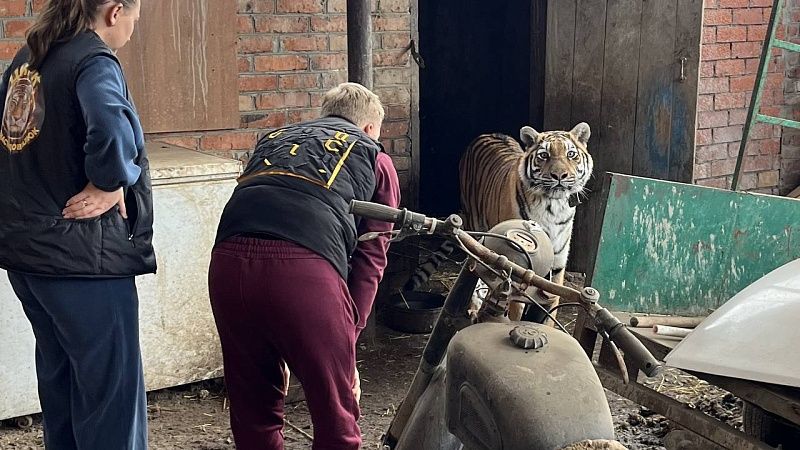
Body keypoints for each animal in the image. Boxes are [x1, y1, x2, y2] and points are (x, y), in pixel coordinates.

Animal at [404, 121, 592, 322]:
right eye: (544, 155)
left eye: (571, 154)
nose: (559, 176)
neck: (553, 207)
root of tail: (489, 133)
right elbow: (515, 308)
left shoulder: (557, 265)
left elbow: (551, 309)